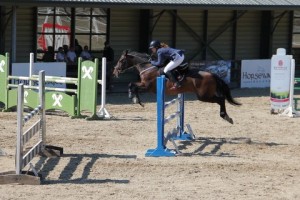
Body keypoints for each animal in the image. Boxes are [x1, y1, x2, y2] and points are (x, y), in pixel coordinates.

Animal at [112, 49, 241, 123]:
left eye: (121, 60)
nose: (115, 72)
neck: (148, 66)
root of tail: (213, 74)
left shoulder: (147, 86)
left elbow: (132, 85)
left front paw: (134, 99)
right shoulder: (144, 85)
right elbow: (131, 84)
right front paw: (135, 99)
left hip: (203, 96)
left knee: (221, 99)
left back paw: (226, 117)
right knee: (221, 99)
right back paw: (226, 117)